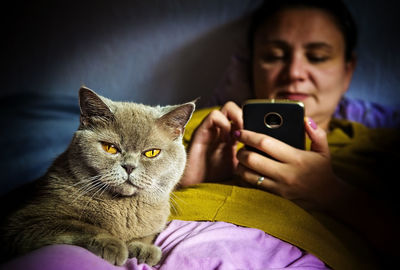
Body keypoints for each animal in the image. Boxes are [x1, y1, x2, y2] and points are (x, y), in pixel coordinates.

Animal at [0, 87, 195, 266]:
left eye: (151, 153)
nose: (129, 166)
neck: (124, 209)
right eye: (110, 148)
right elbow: (80, 226)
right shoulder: (24, 223)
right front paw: (112, 245)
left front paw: (143, 249)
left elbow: (146, 235)